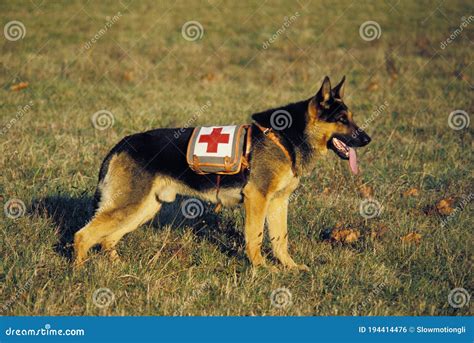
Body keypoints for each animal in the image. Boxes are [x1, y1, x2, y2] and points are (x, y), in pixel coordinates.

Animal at [73, 76, 370, 270]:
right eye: (341, 120)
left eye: (351, 118)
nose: (367, 139)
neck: (287, 137)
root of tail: (121, 144)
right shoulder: (257, 199)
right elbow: (255, 237)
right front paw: (262, 269)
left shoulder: (278, 202)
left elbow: (280, 240)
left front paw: (290, 267)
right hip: (130, 206)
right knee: (83, 236)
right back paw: (80, 272)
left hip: (143, 208)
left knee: (106, 239)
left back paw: (116, 266)